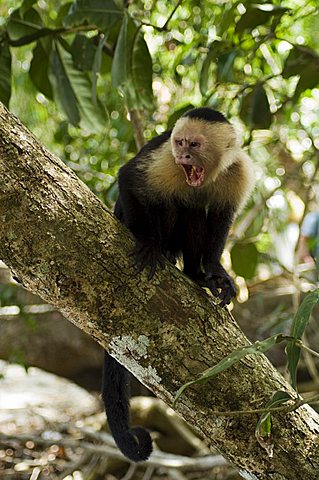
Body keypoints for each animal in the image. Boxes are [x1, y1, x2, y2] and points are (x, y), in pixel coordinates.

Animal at [102, 108, 255, 462]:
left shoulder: (238, 170)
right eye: (180, 142)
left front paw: (214, 270)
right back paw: (161, 249)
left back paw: (196, 274)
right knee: (170, 202)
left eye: (195, 144)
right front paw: (147, 243)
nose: (184, 155)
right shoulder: (165, 161)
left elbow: (223, 216)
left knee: (197, 210)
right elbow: (130, 179)